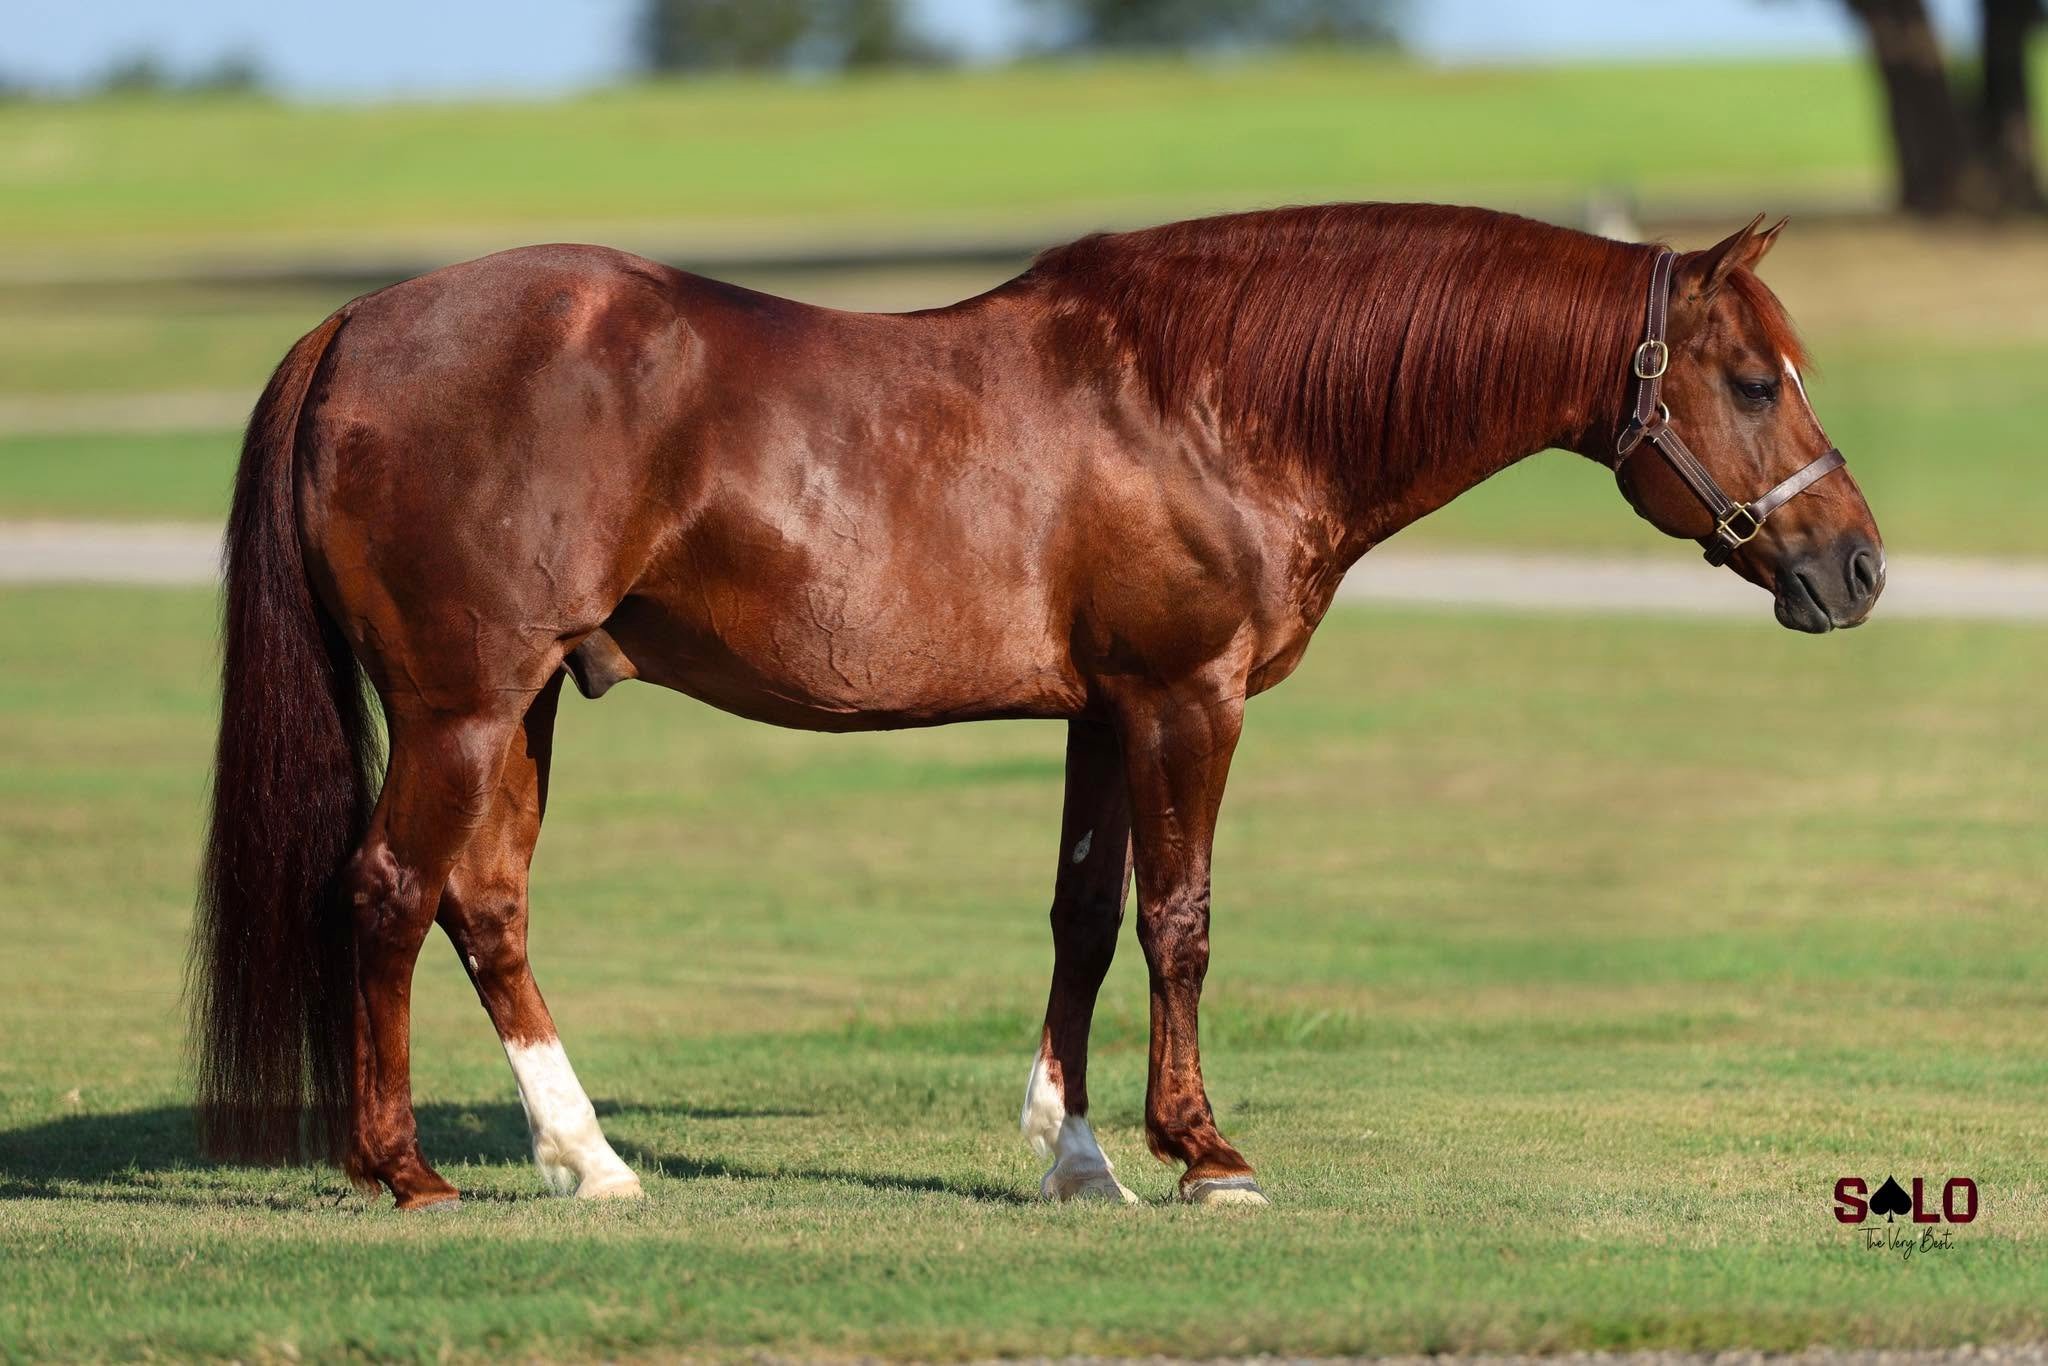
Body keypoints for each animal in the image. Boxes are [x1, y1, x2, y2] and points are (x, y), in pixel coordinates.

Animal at [192, 203, 1884, 1210]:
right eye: (1753, 382)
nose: (1858, 567)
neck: (1201, 401)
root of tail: (356, 326)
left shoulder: (1101, 709)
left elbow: (1084, 916)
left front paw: (1076, 1156)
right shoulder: (1187, 700)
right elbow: (1181, 920)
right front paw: (1205, 1154)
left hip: (526, 699)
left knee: (485, 904)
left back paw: (588, 1158)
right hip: (463, 702)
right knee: (389, 889)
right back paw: (404, 1171)